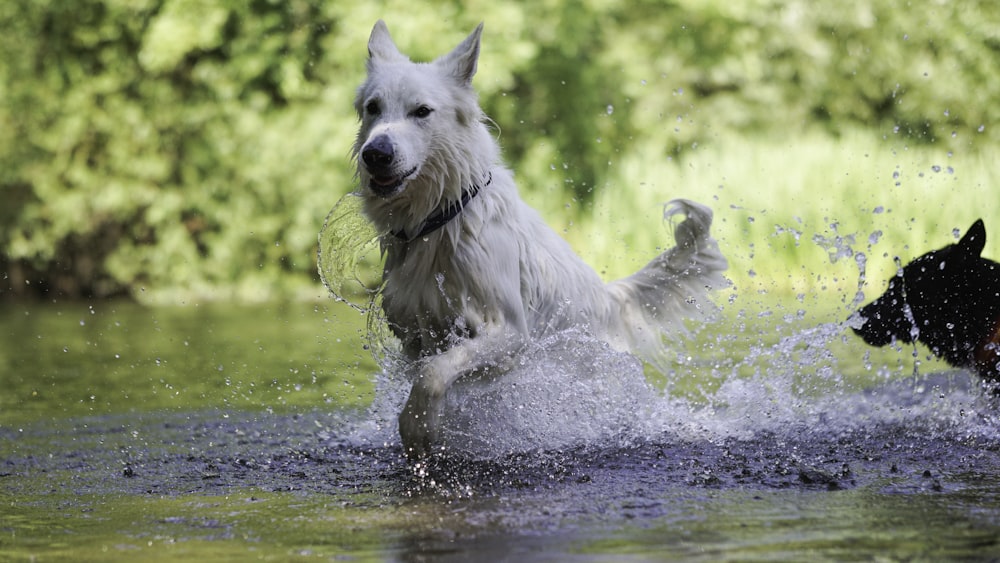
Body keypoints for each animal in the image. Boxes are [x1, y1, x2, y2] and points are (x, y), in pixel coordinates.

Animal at [352, 22, 728, 460]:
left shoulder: (511, 333)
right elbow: (428, 369)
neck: (443, 219)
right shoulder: (415, 330)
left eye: (422, 111)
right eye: (373, 108)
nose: (375, 154)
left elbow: (433, 373)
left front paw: (418, 429)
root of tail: (610, 299)